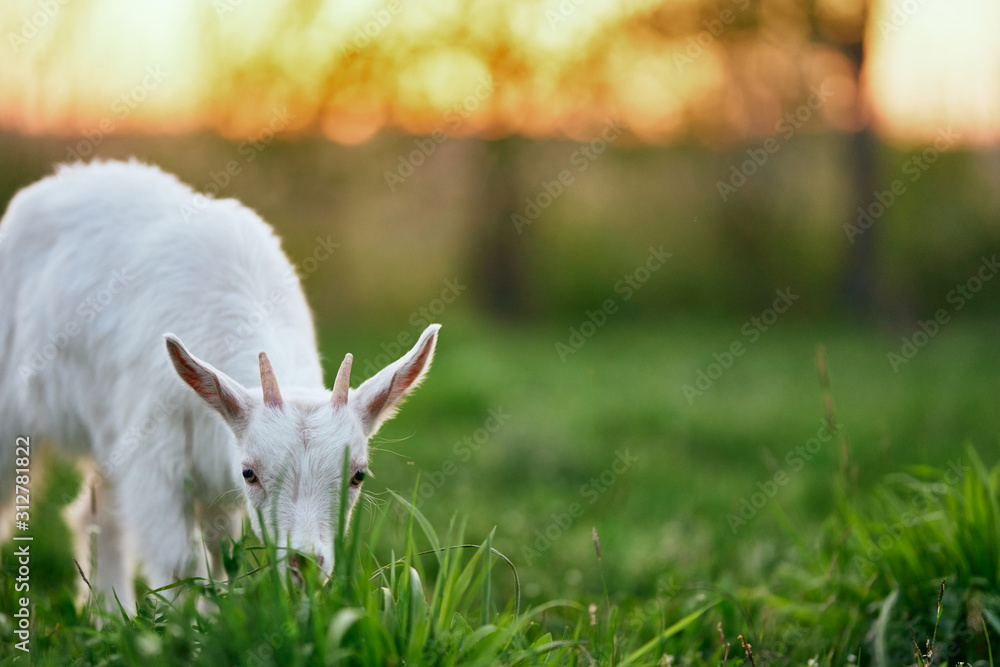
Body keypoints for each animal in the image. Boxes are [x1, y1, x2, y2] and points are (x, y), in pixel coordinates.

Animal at [0, 159, 440, 611]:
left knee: (98, 512)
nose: (303, 565)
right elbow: (180, 561)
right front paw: (182, 624)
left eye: (358, 475)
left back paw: (107, 615)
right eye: (250, 473)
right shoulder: (155, 454)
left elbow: (220, 553)